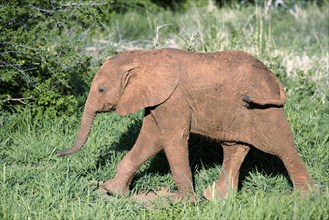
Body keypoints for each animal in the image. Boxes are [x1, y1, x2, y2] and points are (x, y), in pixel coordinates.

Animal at [57, 48, 316, 201]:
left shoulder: (173, 99)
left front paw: (181, 202)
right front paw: (112, 191)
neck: (144, 56)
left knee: (282, 147)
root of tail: (274, 78)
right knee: (235, 148)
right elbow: (150, 139)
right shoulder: (158, 99)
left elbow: (172, 139)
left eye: (101, 89)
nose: (60, 154)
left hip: (265, 110)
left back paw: (305, 198)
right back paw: (216, 198)